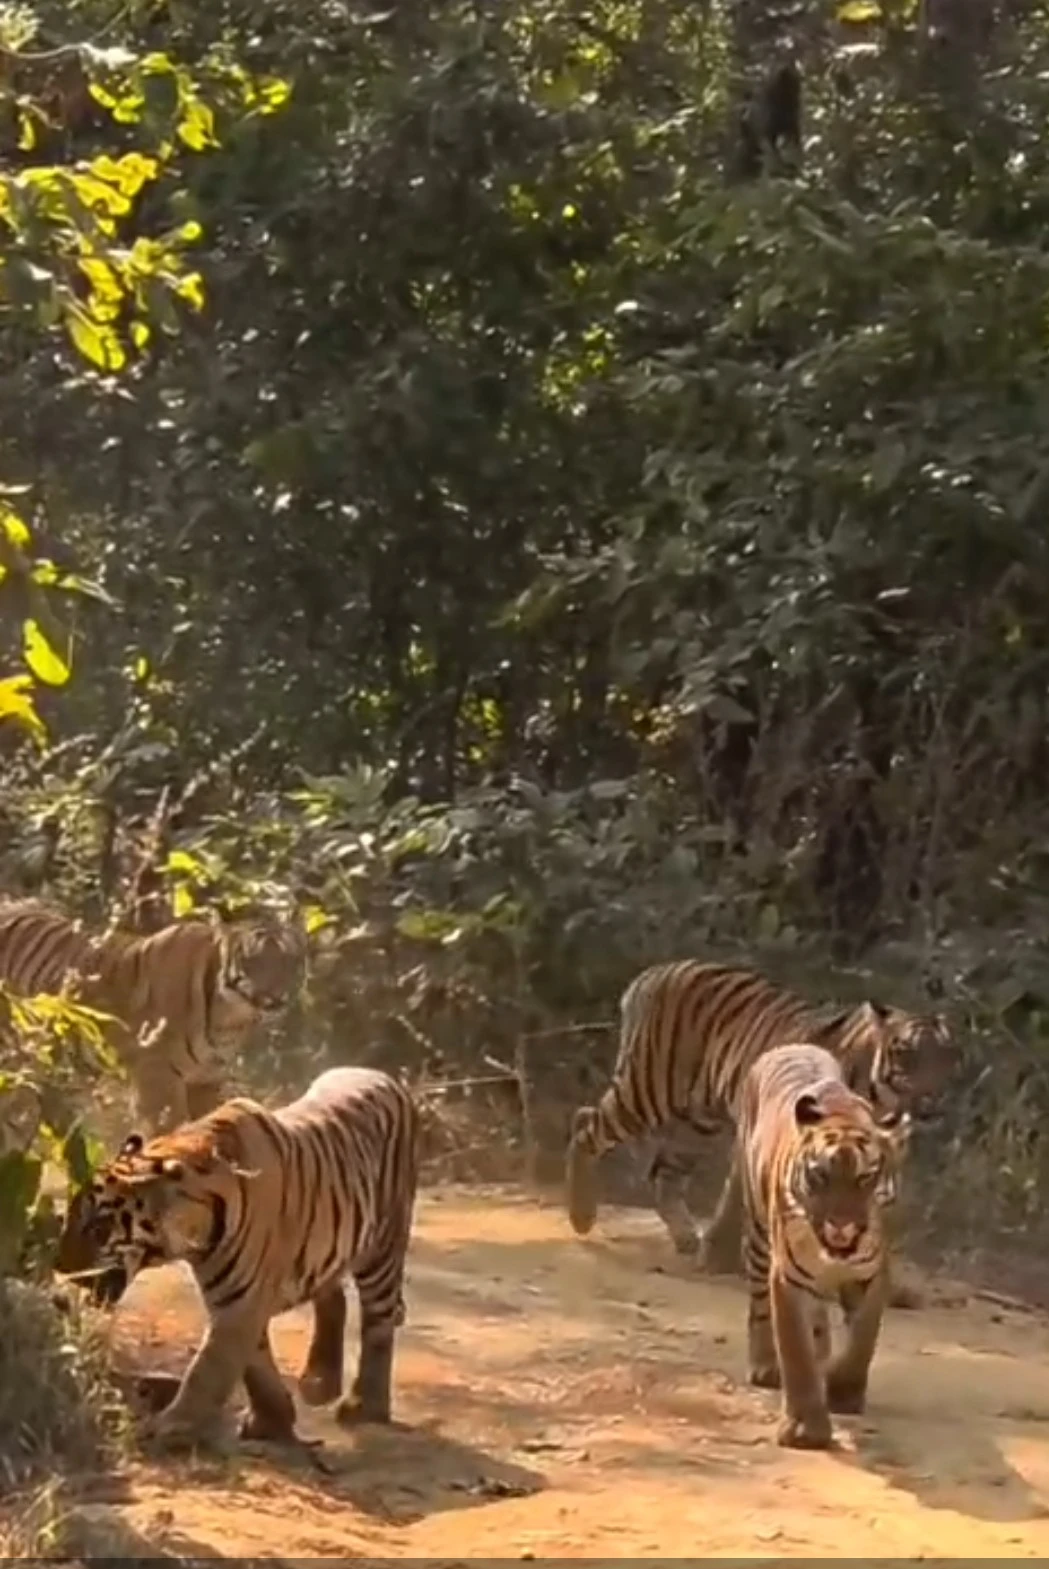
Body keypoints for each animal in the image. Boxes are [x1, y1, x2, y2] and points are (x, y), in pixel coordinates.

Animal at [0, 896, 307, 1133]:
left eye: (289, 960)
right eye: (252, 960)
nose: (278, 996)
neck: (230, 1018)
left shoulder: (205, 1080)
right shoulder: (158, 1080)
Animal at [54, 1065, 419, 1451]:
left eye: (97, 1228)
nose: (60, 1265)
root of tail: (384, 1076)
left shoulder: (238, 1305)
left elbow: (207, 1371)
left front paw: (166, 1428)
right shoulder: (237, 1300)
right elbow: (256, 1366)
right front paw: (271, 1421)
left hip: (384, 1246)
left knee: (378, 1324)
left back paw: (365, 1405)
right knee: (333, 1296)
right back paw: (319, 1383)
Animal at [565, 960, 953, 1300]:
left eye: (943, 1057)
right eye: (907, 1054)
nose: (933, 1097)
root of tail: (653, 973)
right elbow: (743, 1201)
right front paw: (721, 1259)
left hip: (698, 1122)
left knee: (664, 1172)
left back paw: (686, 1237)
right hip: (649, 1090)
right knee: (586, 1122)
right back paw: (582, 1215)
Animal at [737, 1041, 909, 1449]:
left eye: (865, 1178)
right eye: (820, 1176)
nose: (840, 1225)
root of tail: (790, 1045)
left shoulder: (873, 1273)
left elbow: (864, 1338)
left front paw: (844, 1393)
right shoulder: (787, 1276)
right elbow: (795, 1351)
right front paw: (805, 1429)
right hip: (758, 1234)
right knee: (759, 1305)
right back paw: (765, 1366)